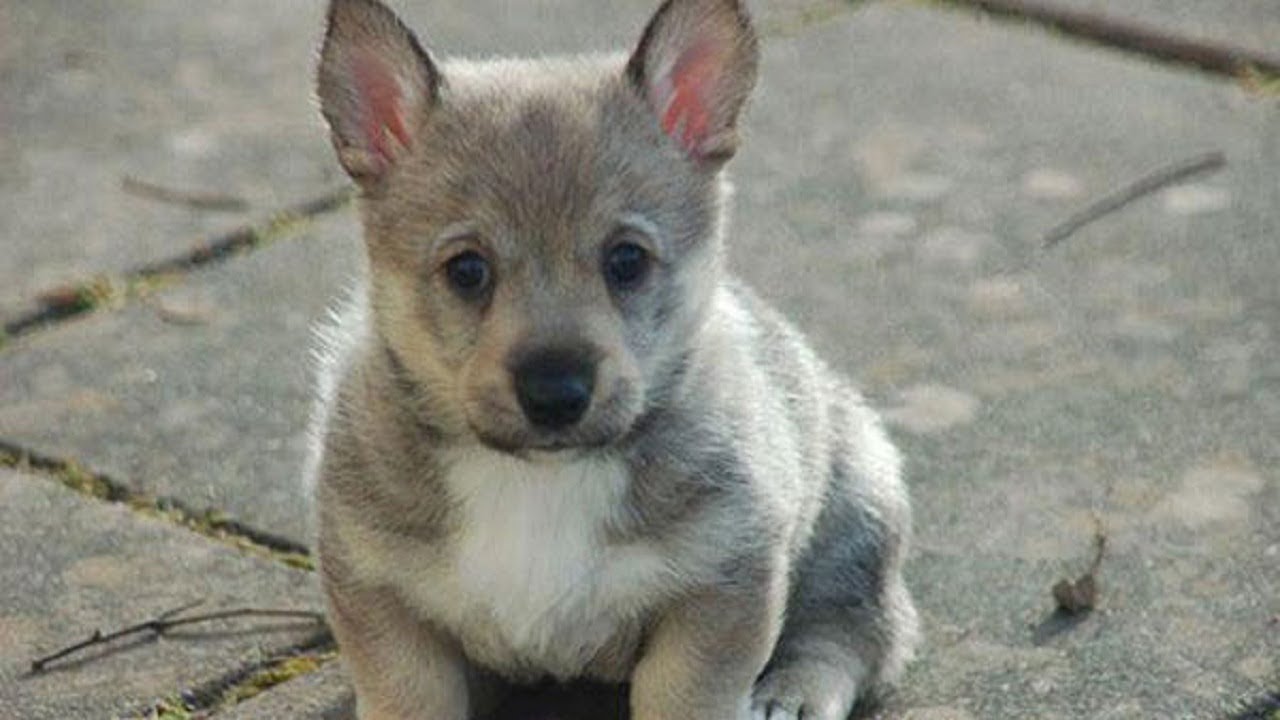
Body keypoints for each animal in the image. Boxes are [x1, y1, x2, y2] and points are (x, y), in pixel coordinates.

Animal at [308, 0, 919, 718]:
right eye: (467, 270)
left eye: (626, 260)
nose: (554, 392)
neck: (540, 483)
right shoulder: (380, 597)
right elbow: (409, 693)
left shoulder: (721, 588)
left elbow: (688, 695)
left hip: (859, 508)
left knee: (856, 626)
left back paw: (792, 693)